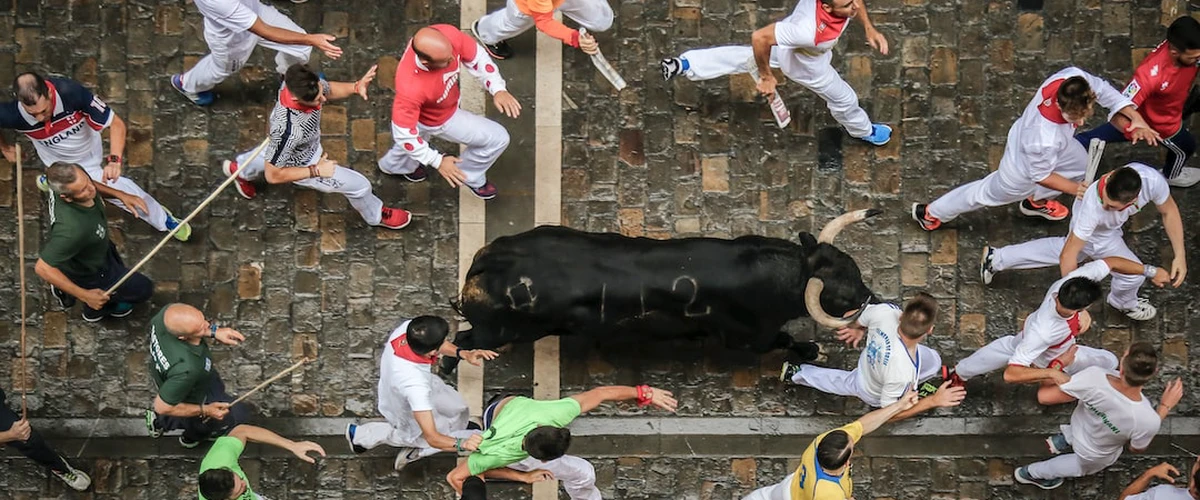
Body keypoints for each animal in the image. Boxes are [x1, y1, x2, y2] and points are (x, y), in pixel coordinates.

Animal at [451, 208, 883, 364]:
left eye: (854, 268)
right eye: (842, 294)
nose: (873, 299)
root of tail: (488, 261)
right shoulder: (747, 339)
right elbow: (785, 340)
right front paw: (812, 350)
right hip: (499, 332)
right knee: (460, 342)